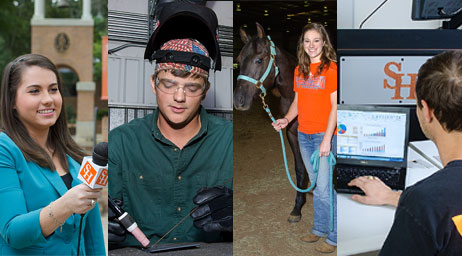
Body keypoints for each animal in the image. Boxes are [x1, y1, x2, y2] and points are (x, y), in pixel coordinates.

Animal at [235, 22, 306, 222]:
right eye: (239, 60)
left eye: (259, 60)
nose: (239, 101)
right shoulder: (292, 134)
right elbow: (300, 169)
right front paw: (297, 208)